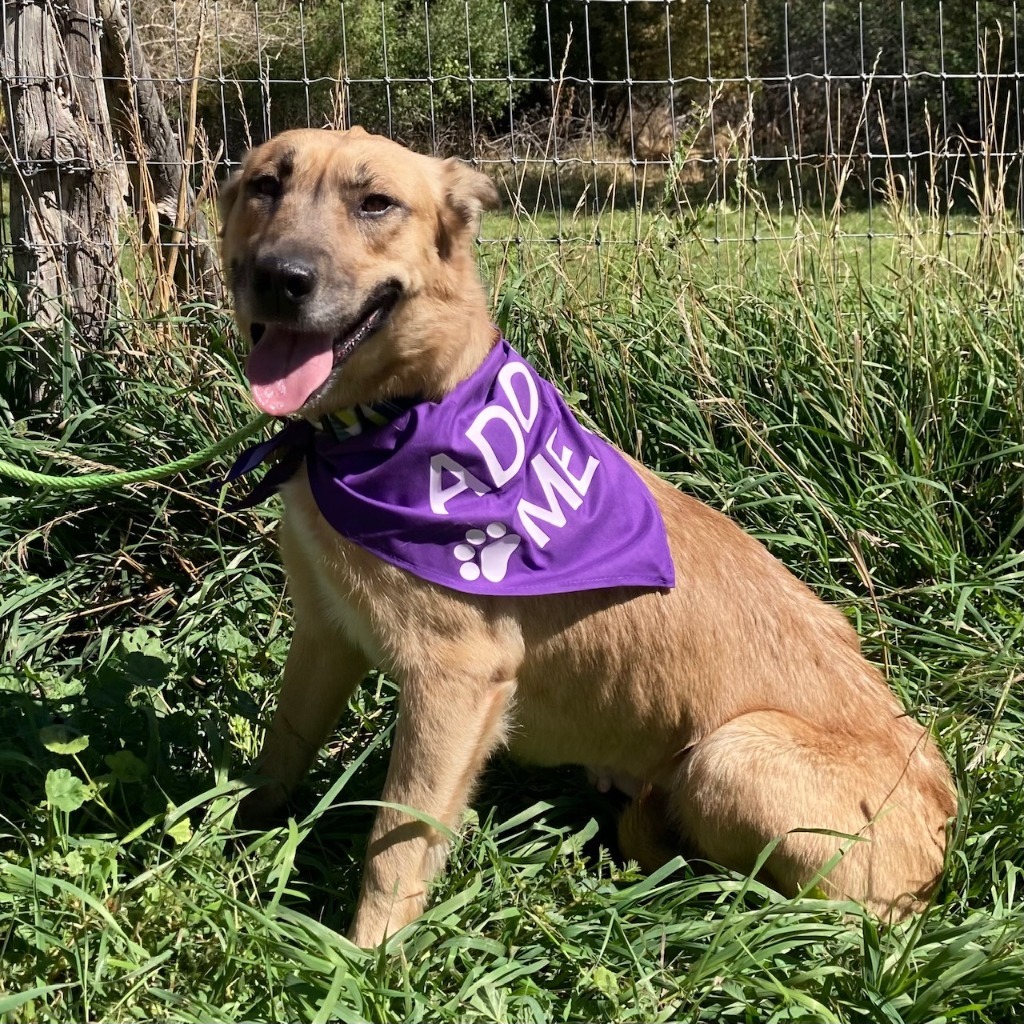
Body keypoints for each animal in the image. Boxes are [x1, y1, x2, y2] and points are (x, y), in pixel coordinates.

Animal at [220, 130, 954, 950]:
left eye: (376, 202)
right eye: (265, 185)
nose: (279, 278)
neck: (394, 420)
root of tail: (941, 832)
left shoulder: (455, 681)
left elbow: (396, 842)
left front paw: (366, 958)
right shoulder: (325, 635)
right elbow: (280, 752)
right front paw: (233, 843)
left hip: (730, 755)